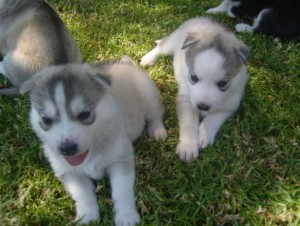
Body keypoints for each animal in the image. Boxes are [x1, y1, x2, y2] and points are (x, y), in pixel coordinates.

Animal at [19, 56, 168, 224]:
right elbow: (83, 196)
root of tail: (124, 63)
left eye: (85, 114)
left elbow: (121, 191)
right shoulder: (70, 173)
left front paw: (126, 216)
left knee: (155, 114)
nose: (67, 149)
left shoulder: (120, 159)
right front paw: (87, 217)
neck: (92, 151)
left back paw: (157, 131)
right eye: (46, 120)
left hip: (148, 95)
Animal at [142, 17, 250, 162]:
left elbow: (212, 119)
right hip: (173, 43)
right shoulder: (186, 101)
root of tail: (203, 19)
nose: (202, 106)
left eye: (222, 83)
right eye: (193, 77)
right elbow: (189, 124)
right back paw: (148, 58)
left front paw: (204, 135)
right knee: (162, 47)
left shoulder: (228, 107)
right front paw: (188, 147)